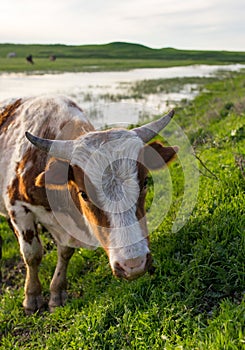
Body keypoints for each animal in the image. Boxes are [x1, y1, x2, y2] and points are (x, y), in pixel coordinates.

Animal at [0, 95, 178, 314]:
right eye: (84, 194)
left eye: (145, 182)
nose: (133, 264)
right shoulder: (18, 208)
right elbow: (32, 254)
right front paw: (32, 297)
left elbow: (65, 252)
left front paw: (57, 292)